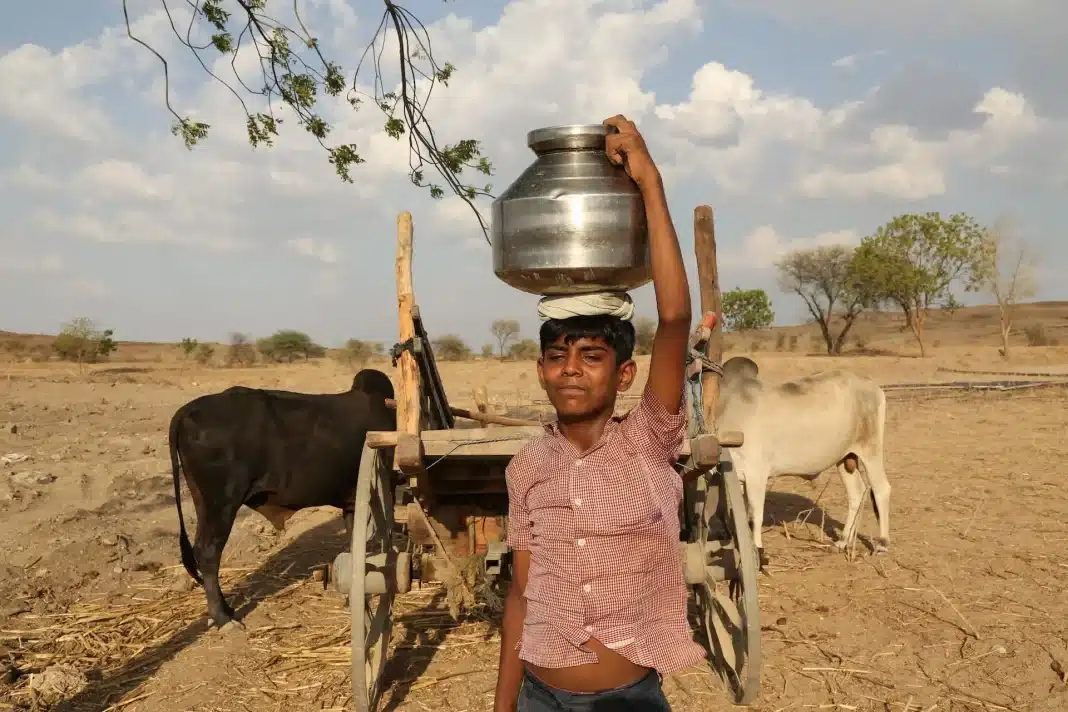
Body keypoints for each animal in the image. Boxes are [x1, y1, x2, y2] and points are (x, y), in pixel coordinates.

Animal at [170, 371, 397, 627]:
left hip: (203, 502)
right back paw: (223, 618)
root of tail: (188, 410)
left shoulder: (351, 502)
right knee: (208, 553)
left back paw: (226, 610)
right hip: (222, 504)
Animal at [717, 358, 892, 563]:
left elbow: (754, 515)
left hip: (871, 450)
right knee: (857, 492)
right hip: (844, 457)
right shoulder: (738, 475)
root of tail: (872, 386)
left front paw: (758, 552)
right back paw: (841, 542)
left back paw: (882, 544)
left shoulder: (756, 474)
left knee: (881, 489)